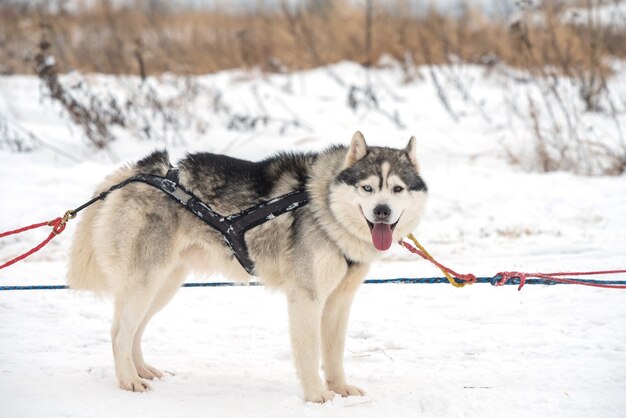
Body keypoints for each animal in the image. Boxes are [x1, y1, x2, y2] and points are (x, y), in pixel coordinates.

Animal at [69, 132, 428, 404]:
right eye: (368, 187)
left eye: (397, 189)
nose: (382, 211)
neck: (324, 207)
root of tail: (138, 170)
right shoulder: (306, 298)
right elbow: (310, 354)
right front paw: (316, 396)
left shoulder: (339, 301)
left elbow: (334, 353)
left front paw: (340, 389)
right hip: (145, 282)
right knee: (119, 333)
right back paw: (128, 380)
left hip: (163, 286)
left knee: (134, 332)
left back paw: (142, 370)